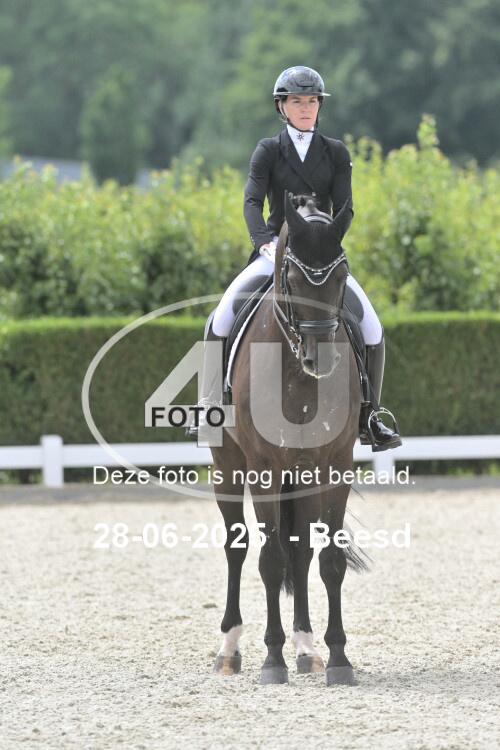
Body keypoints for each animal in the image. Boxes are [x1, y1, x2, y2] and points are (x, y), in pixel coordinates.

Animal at [209, 191, 363, 686]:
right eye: (292, 278)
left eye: (342, 276)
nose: (322, 359)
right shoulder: (263, 468)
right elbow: (269, 560)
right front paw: (272, 660)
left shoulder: (333, 466)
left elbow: (328, 561)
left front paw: (338, 658)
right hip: (227, 468)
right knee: (237, 548)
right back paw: (230, 649)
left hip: (302, 474)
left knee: (301, 551)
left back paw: (306, 648)